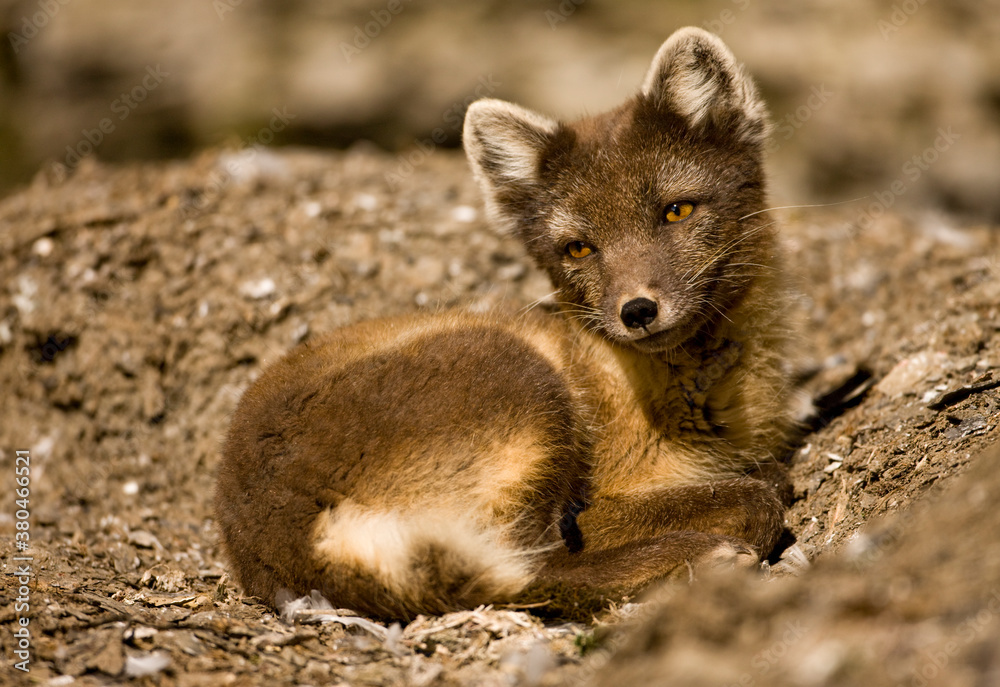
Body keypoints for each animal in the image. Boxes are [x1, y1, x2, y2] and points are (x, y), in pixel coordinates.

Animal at [215, 26, 800, 621]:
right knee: (536, 567)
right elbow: (747, 493)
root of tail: (280, 530)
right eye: (578, 248)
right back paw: (700, 558)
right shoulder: (612, 489)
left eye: (677, 211)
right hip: (523, 384)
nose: (636, 311)